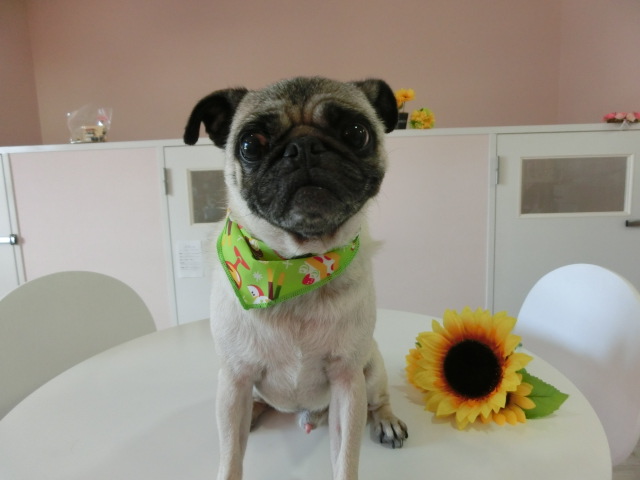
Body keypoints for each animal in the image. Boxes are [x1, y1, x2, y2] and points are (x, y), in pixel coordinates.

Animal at [183, 76, 408, 480]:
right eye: (249, 145)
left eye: (356, 133)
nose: (304, 147)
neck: (295, 266)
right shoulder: (235, 378)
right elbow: (231, 457)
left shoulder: (347, 382)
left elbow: (346, 458)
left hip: (370, 366)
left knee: (378, 398)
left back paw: (386, 420)